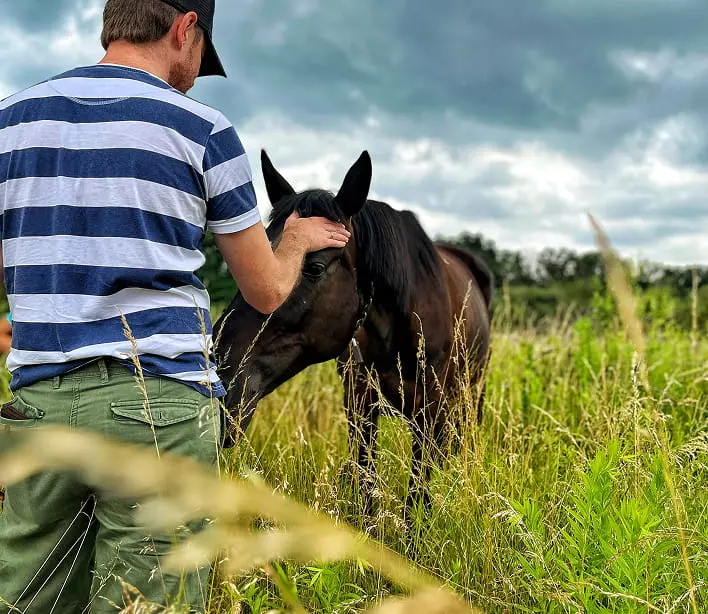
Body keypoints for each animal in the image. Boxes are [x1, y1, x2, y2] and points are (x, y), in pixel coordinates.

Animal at [213, 150, 494, 522]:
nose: (220, 373)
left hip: (471, 392)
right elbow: (366, 479)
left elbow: (417, 490)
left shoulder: (430, 408)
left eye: (315, 267)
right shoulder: (360, 402)